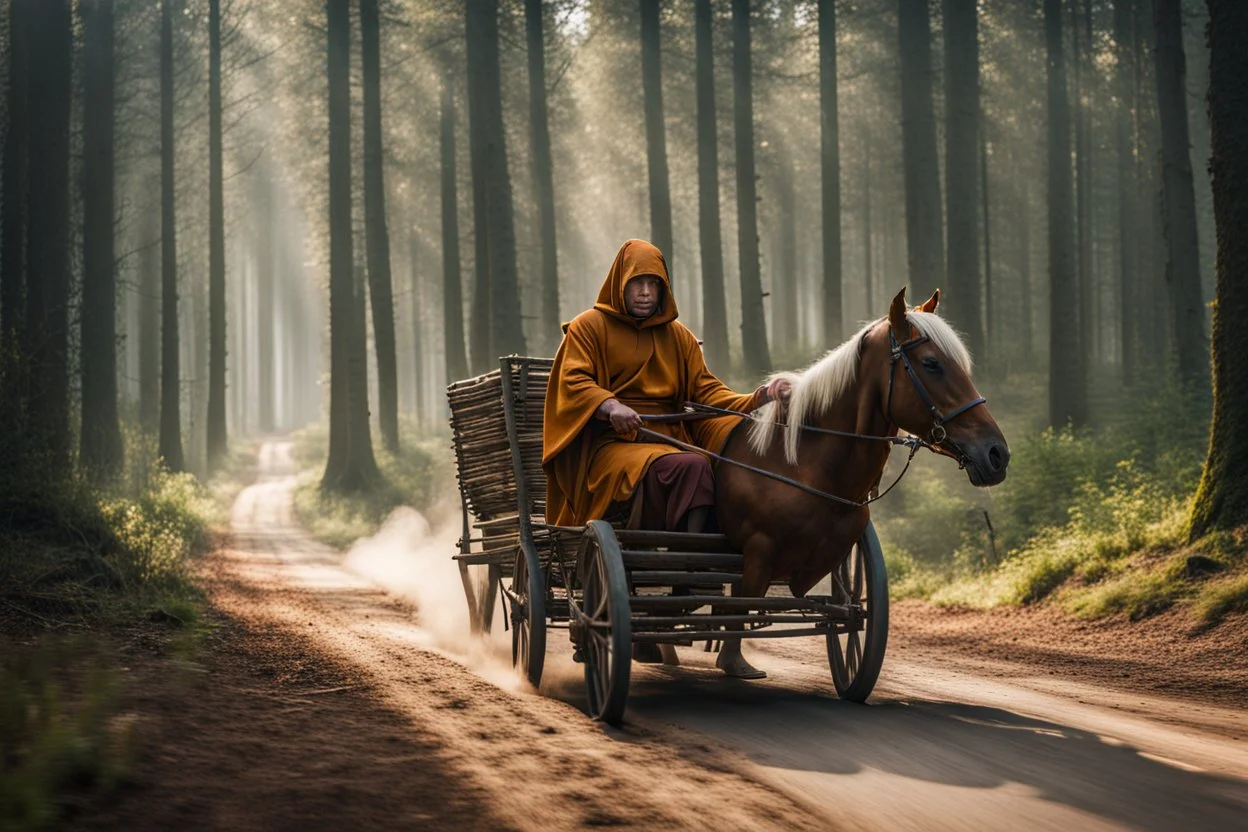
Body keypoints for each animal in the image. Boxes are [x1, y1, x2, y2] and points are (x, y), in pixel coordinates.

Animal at [708, 286, 1008, 678]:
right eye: (932, 364)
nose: (997, 453)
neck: (798, 463)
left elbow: (848, 610)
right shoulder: (757, 550)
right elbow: (741, 606)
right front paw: (733, 660)